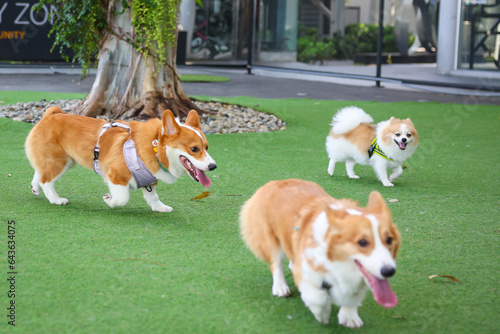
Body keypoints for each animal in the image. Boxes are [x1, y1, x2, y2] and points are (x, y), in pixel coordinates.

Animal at [24, 107, 217, 211]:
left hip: (64, 161)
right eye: (194, 149)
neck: (154, 146)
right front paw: (108, 199)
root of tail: (51, 113)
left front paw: (160, 208)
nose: (213, 166)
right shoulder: (116, 175)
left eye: (207, 147)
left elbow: (153, 196)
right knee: (47, 180)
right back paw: (56, 200)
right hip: (59, 161)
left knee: (40, 173)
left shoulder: (150, 180)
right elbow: (122, 198)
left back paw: (34, 189)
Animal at [240, 180, 400, 328]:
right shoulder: (306, 273)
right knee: (276, 263)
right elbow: (317, 297)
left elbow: (352, 297)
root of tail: (275, 182)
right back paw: (280, 287)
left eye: (389, 239)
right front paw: (322, 315)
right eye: (362, 242)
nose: (389, 271)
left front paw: (349, 317)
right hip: (271, 240)